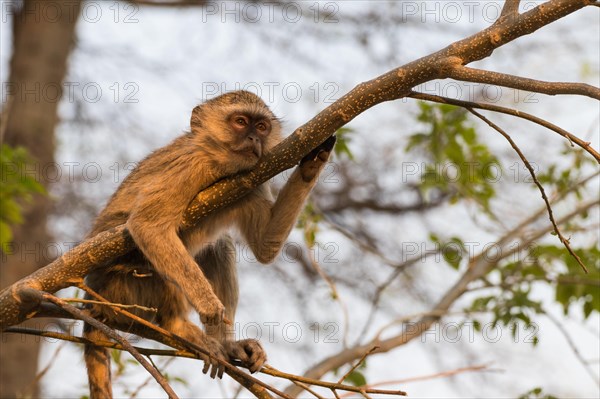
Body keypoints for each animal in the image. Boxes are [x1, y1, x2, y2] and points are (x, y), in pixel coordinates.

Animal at [83, 91, 338, 399]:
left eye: (261, 127)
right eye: (240, 122)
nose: (254, 139)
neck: (221, 167)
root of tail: (93, 297)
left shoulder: (252, 180)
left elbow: (265, 246)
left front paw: (313, 161)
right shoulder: (193, 164)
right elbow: (147, 225)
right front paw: (208, 306)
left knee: (219, 246)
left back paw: (227, 345)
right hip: (125, 288)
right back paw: (177, 325)